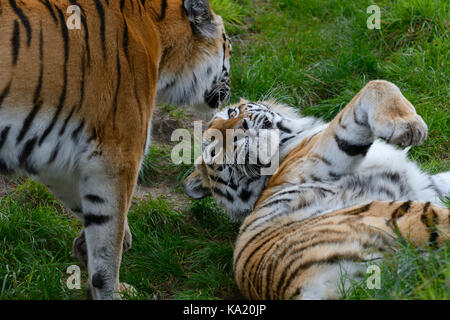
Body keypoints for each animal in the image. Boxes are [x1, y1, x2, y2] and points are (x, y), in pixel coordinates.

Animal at [0, 0, 230, 300]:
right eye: (228, 47)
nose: (231, 90)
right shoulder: (118, 156)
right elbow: (109, 238)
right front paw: (111, 289)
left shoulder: (56, 160)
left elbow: (84, 205)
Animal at [183, 80, 450, 300]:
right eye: (215, 150)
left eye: (232, 112)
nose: (242, 126)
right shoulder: (321, 157)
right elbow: (374, 86)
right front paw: (408, 126)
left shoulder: (429, 184)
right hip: (402, 214)